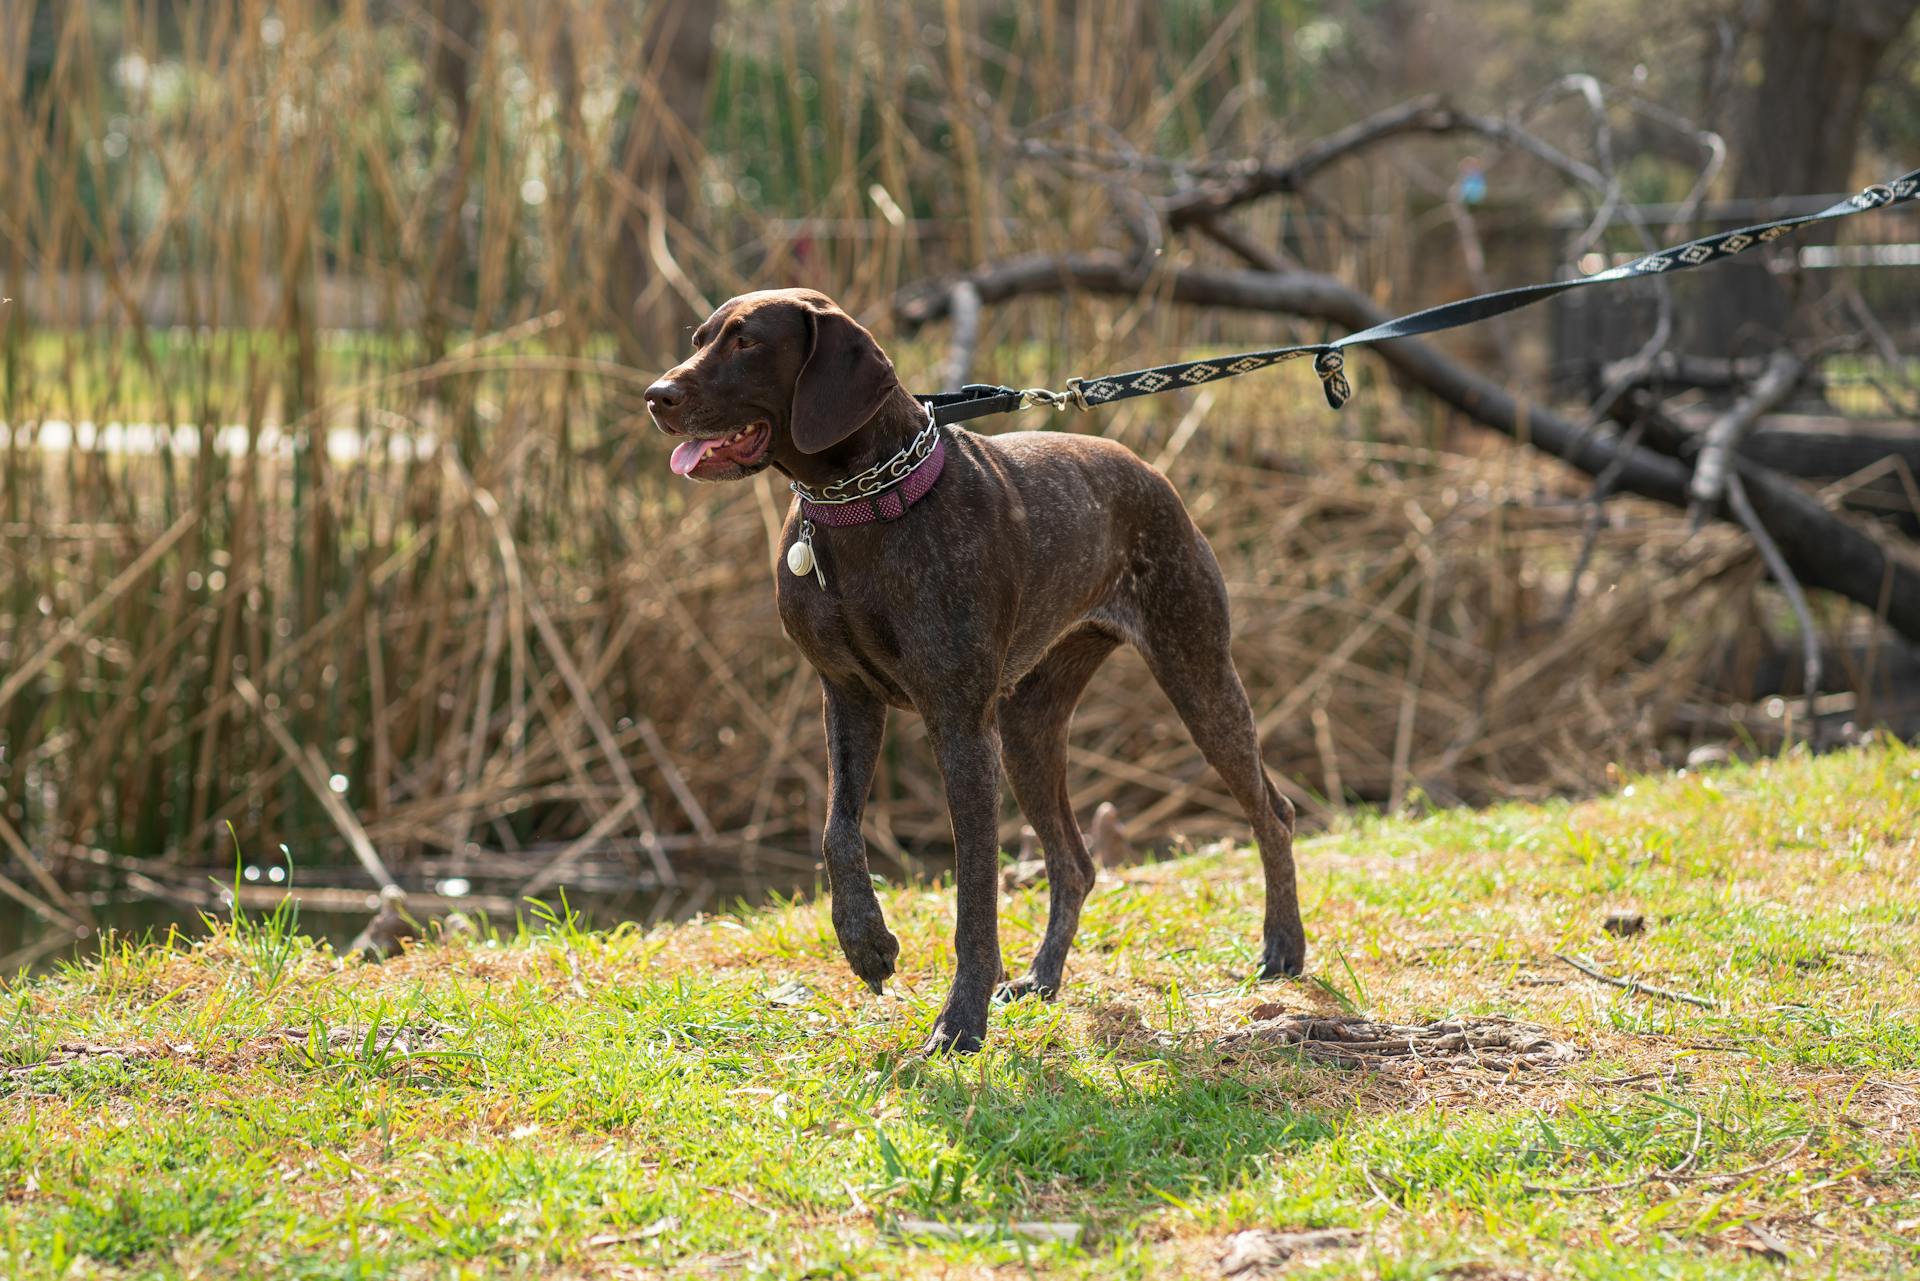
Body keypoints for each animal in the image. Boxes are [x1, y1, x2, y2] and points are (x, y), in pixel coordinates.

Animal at [648, 288, 1305, 1052]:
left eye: (747, 342)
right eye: (700, 338)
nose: (656, 395)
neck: (859, 503)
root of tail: (1148, 470)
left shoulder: (961, 728)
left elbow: (973, 898)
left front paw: (961, 1019)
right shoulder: (848, 698)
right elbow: (838, 832)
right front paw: (866, 943)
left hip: (1195, 675)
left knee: (1273, 813)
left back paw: (1283, 947)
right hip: (1028, 730)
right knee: (1074, 862)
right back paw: (1042, 978)